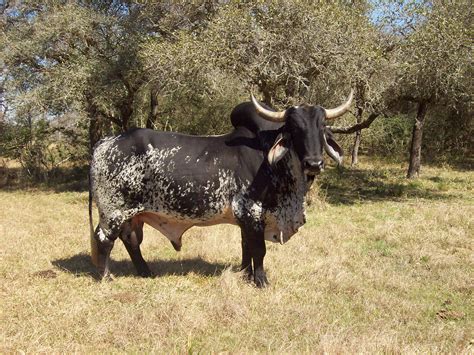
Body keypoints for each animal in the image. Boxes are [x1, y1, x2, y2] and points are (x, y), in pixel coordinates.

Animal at [90, 91, 354, 286]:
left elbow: (246, 247)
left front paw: (246, 275)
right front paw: (261, 281)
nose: (314, 163)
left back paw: (146, 272)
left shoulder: (246, 218)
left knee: (131, 240)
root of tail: (105, 141)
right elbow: (259, 249)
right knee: (103, 239)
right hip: (113, 212)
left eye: (322, 127)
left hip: (133, 214)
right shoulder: (251, 210)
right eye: (295, 129)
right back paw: (106, 278)